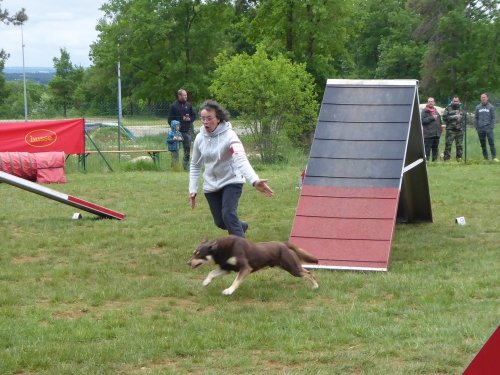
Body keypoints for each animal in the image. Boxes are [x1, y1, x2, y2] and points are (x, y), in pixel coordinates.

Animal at [186, 236, 318, 296]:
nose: (188, 263)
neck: (222, 249)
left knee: (309, 273)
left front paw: (229, 290)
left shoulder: (245, 268)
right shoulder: (227, 267)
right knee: (306, 271)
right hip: (290, 266)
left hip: (292, 268)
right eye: (193, 253)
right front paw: (206, 282)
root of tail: (283, 244)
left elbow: (236, 281)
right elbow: (211, 273)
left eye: (198, 254)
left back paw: (316, 286)